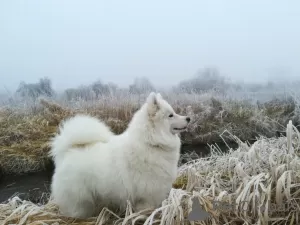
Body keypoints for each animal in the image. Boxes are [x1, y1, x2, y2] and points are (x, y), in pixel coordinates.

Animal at [48, 91, 190, 218]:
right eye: (170, 115)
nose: (188, 118)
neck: (151, 142)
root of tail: (67, 151)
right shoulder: (147, 197)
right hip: (80, 201)